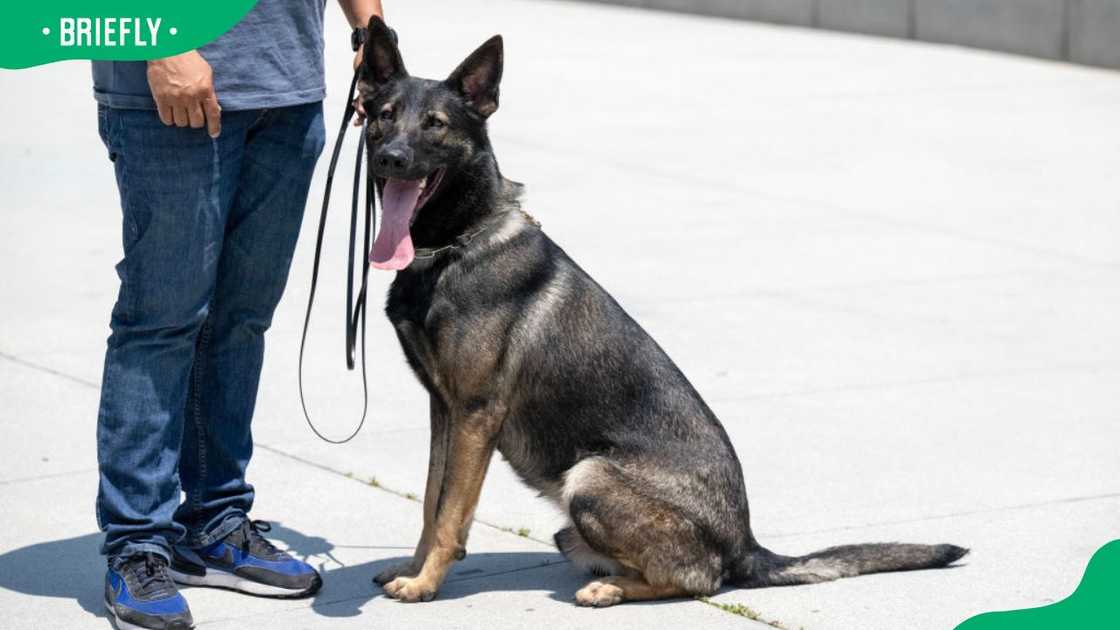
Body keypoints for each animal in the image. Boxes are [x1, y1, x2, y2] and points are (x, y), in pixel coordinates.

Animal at [356, 15, 963, 605]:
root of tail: (746, 544)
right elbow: (431, 501)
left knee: (699, 579)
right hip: (571, 513)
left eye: (435, 124)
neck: (455, 244)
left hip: (589, 476)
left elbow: (450, 513)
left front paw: (426, 584)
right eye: (383, 116)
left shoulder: (474, 415)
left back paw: (609, 589)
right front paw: (413, 568)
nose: (391, 158)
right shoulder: (445, 409)